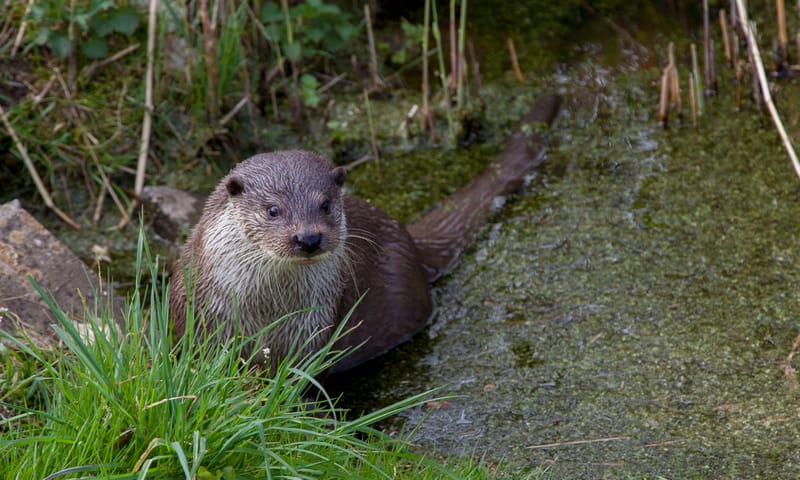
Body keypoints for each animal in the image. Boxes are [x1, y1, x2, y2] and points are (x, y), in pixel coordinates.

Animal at [169, 94, 560, 374]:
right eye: (273, 210)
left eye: (326, 204)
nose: (308, 238)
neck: (267, 310)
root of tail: (409, 241)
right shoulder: (201, 314)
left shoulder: (313, 326)